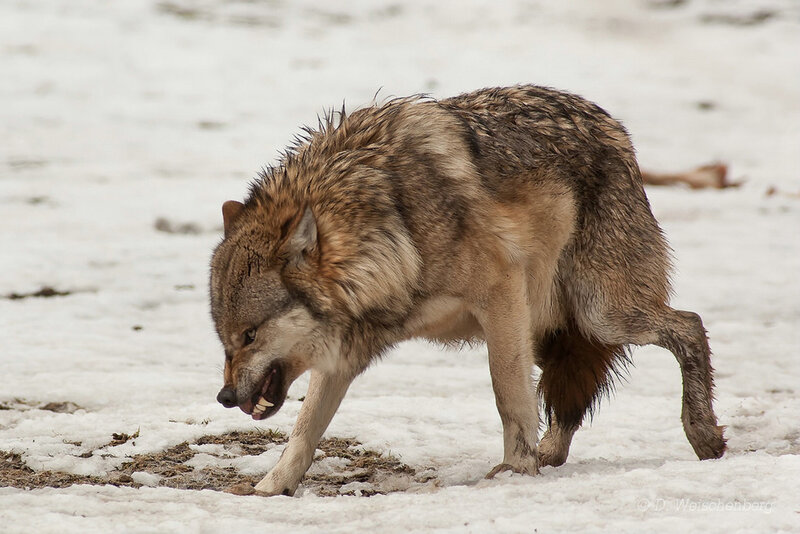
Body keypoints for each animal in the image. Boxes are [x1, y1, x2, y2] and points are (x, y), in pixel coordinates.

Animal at [210, 85, 726, 496]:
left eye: (250, 335)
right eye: (226, 340)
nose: (225, 397)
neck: (395, 226)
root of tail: (616, 131)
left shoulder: (501, 293)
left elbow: (508, 394)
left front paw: (516, 469)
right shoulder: (347, 349)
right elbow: (304, 429)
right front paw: (270, 489)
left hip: (597, 313)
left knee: (689, 324)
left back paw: (703, 436)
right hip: (551, 328)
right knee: (572, 387)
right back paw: (552, 453)